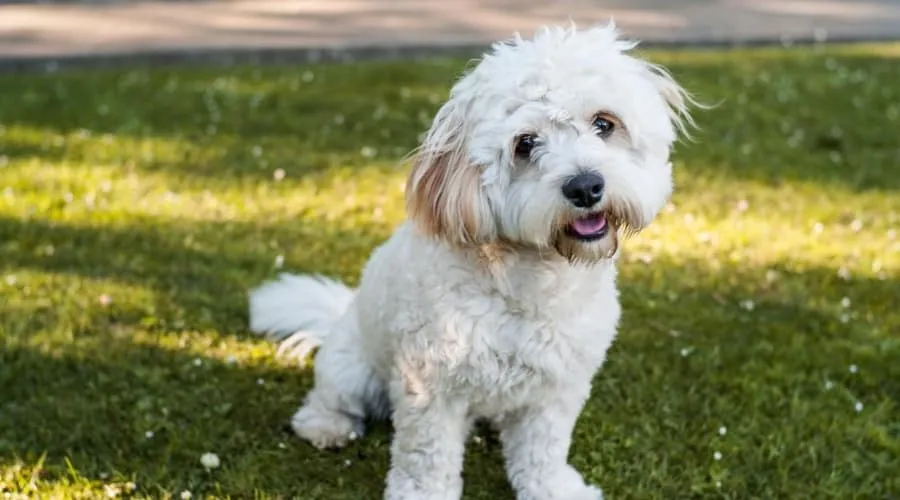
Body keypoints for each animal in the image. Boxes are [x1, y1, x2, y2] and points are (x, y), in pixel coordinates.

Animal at [250, 20, 700, 500]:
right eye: (525, 144)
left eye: (604, 123)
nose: (585, 187)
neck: (530, 280)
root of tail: (342, 313)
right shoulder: (429, 388)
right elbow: (426, 459)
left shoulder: (557, 387)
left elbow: (543, 451)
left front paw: (554, 487)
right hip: (352, 367)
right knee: (329, 399)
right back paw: (326, 425)